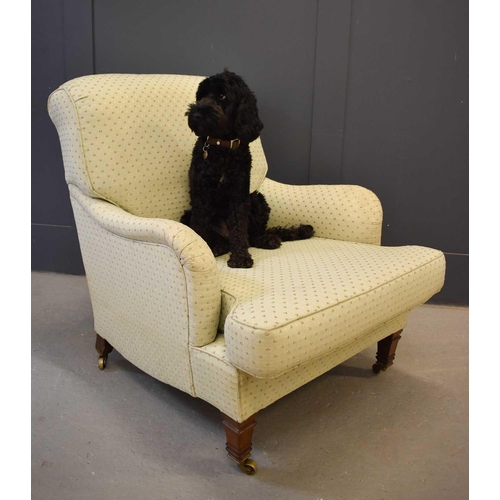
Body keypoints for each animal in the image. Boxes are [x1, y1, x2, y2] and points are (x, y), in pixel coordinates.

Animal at [180, 69, 312, 270]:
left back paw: (267, 239)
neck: (222, 147)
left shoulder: (239, 193)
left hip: (257, 199)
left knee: (253, 235)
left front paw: (240, 258)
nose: (196, 115)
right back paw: (217, 246)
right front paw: (207, 249)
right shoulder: (201, 194)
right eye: (201, 96)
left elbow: (239, 226)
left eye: (221, 95)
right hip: (187, 215)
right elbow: (201, 226)